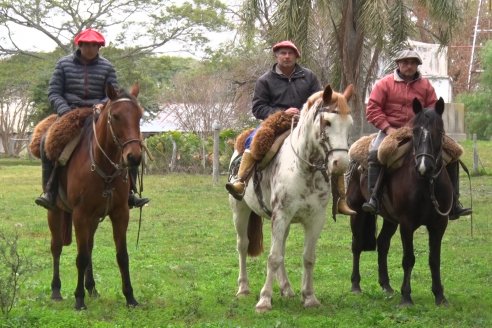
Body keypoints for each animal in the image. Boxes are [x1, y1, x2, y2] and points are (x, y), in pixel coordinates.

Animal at [47, 83, 142, 308]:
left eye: (139, 116)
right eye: (115, 116)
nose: (134, 157)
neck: (103, 165)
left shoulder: (120, 213)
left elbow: (122, 256)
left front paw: (130, 297)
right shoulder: (80, 215)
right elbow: (80, 257)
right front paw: (79, 299)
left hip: (93, 219)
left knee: (89, 246)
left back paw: (92, 288)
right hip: (55, 212)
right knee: (56, 247)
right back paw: (56, 290)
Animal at [229, 83, 356, 312]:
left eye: (349, 124)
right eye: (327, 122)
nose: (341, 163)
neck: (304, 169)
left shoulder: (315, 219)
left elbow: (308, 257)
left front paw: (309, 297)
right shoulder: (281, 215)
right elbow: (273, 257)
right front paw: (264, 300)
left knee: (281, 249)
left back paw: (287, 288)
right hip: (240, 211)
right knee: (243, 245)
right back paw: (243, 288)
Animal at [346, 98, 454, 306]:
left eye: (439, 131)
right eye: (415, 131)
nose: (424, 166)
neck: (425, 183)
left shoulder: (439, 224)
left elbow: (434, 260)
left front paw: (439, 295)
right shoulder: (406, 224)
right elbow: (408, 259)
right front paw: (406, 297)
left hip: (390, 219)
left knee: (382, 243)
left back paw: (386, 286)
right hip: (357, 212)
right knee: (356, 245)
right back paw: (355, 285)